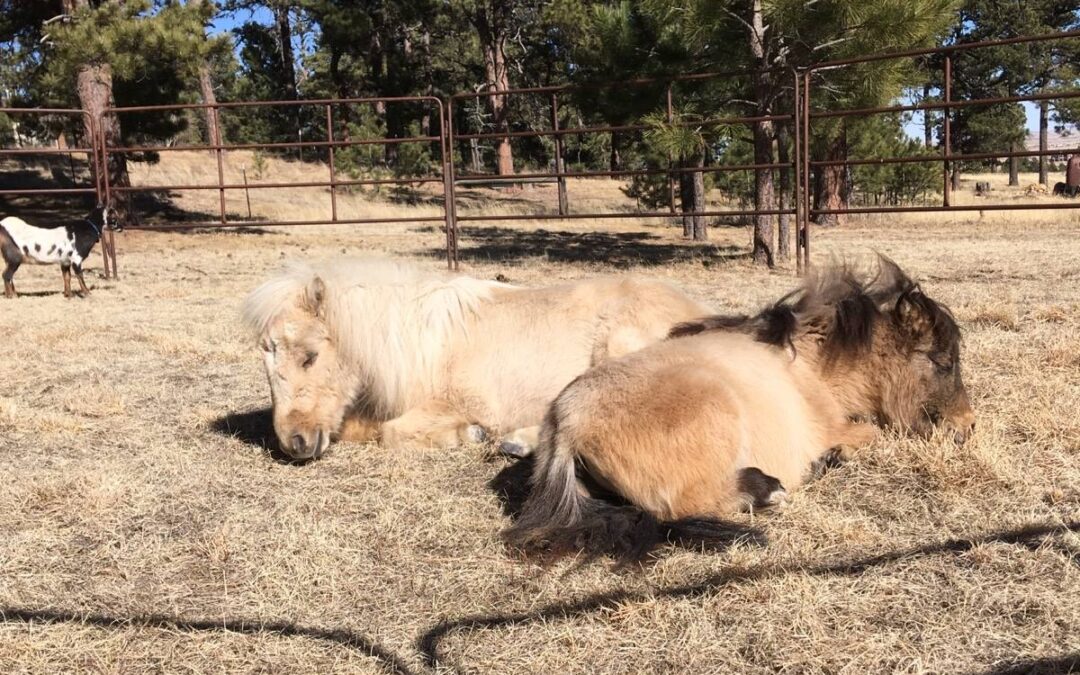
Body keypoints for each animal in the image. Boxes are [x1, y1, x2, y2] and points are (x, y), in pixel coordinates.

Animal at [246, 257, 717, 457]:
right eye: (267, 364)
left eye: (309, 357)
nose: (293, 444)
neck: (423, 344)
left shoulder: (462, 401)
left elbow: (393, 433)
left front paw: (468, 434)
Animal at [505, 258, 980, 561]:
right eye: (943, 361)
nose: (968, 426)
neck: (810, 364)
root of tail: (566, 424)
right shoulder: (839, 426)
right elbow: (871, 433)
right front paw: (832, 457)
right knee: (686, 505)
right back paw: (768, 488)